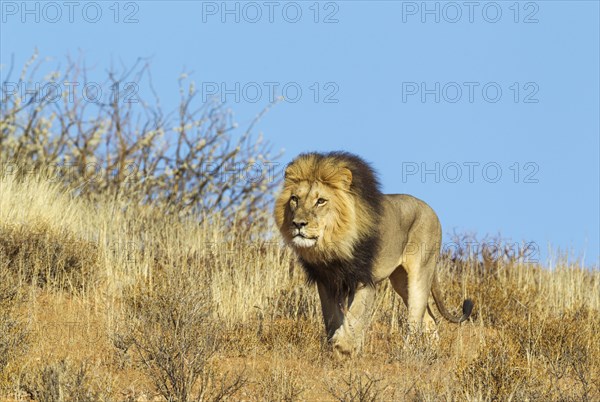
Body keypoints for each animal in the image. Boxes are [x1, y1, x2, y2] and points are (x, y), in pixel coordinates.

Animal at [274, 152, 474, 358]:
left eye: (321, 201)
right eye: (295, 199)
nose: (298, 224)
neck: (335, 244)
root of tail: (430, 209)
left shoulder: (365, 280)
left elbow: (356, 314)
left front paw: (344, 345)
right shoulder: (327, 281)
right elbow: (332, 317)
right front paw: (337, 348)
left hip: (420, 274)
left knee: (415, 317)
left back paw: (406, 354)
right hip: (401, 281)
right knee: (429, 318)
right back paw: (431, 353)